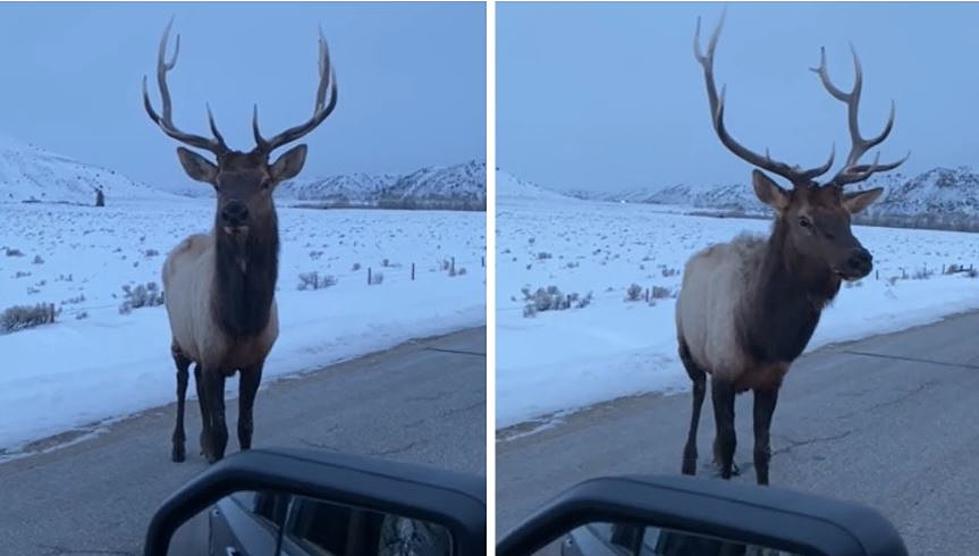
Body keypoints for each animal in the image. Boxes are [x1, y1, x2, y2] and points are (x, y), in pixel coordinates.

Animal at [144, 19, 338, 462]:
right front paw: (211, 450)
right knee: (182, 380)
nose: (234, 212)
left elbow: (245, 427)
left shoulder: (256, 360)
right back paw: (180, 444)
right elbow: (221, 433)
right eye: (218, 183)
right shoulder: (212, 352)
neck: (241, 321)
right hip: (178, 333)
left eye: (265, 181)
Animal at [676, 15, 908, 484]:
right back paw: (689, 460)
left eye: (849, 217)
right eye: (804, 219)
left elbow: (761, 450)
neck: (763, 335)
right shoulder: (723, 371)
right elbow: (730, 443)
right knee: (695, 398)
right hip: (688, 348)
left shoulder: (773, 378)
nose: (861, 259)